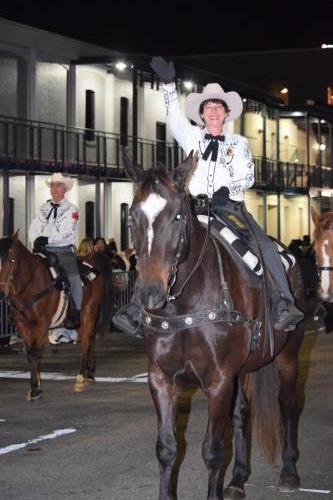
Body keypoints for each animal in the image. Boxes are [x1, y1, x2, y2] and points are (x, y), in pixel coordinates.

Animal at [0, 232, 113, 400]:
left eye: (11, 260)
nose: (1, 293)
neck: (31, 284)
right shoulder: (23, 324)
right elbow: (30, 353)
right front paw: (35, 386)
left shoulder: (42, 323)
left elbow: (34, 351)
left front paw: (35, 390)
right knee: (88, 339)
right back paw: (89, 373)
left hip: (90, 312)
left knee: (86, 340)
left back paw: (80, 378)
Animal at [124, 153, 304, 500]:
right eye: (131, 218)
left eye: (177, 216)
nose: (149, 293)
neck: (186, 305)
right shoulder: (162, 378)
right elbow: (167, 449)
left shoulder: (218, 380)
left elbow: (213, 451)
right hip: (243, 370)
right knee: (242, 414)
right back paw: (237, 479)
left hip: (288, 357)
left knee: (288, 405)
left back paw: (289, 471)